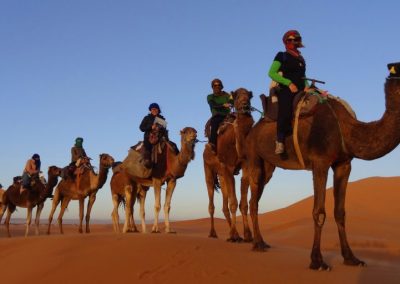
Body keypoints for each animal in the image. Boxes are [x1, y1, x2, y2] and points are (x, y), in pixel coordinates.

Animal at [205, 88, 255, 242]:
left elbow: (243, 204)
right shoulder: (228, 168)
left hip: (221, 176)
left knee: (224, 206)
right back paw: (213, 233)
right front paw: (236, 236)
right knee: (211, 203)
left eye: (249, 96)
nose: (245, 105)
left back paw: (233, 233)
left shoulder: (244, 167)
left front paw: (247, 235)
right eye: (237, 96)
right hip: (208, 170)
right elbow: (233, 203)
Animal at [241, 74, 400, 270]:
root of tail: (253, 129)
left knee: (257, 194)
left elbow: (340, 212)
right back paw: (257, 244)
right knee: (253, 198)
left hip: (269, 165)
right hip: (253, 154)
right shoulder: (320, 162)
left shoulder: (343, 164)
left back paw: (262, 241)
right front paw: (317, 261)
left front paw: (351, 258)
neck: (344, 127)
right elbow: (319, 211)